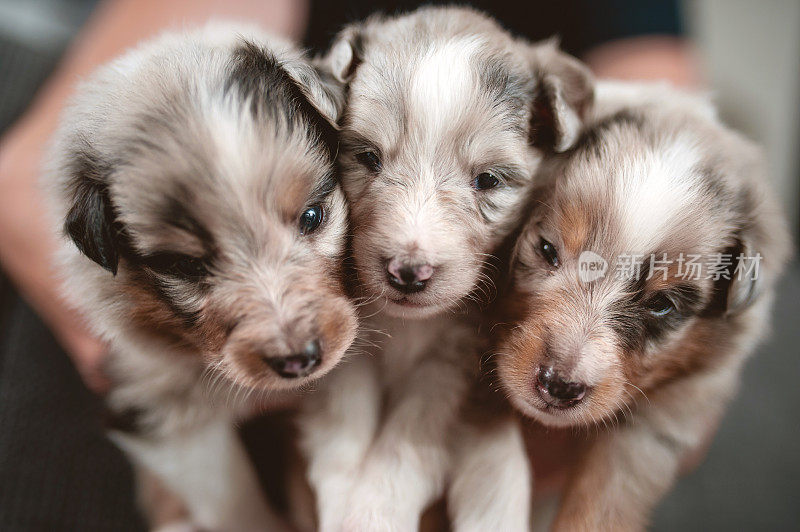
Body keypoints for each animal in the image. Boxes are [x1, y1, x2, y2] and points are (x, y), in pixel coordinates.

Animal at [300, 6, 592, 528]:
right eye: (368, 157)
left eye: (488, 180)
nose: (407, 272)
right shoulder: (349, 349)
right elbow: (343, 430)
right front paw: (345, 505)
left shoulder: (451, 367)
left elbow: (403, 445)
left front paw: (374, 512)